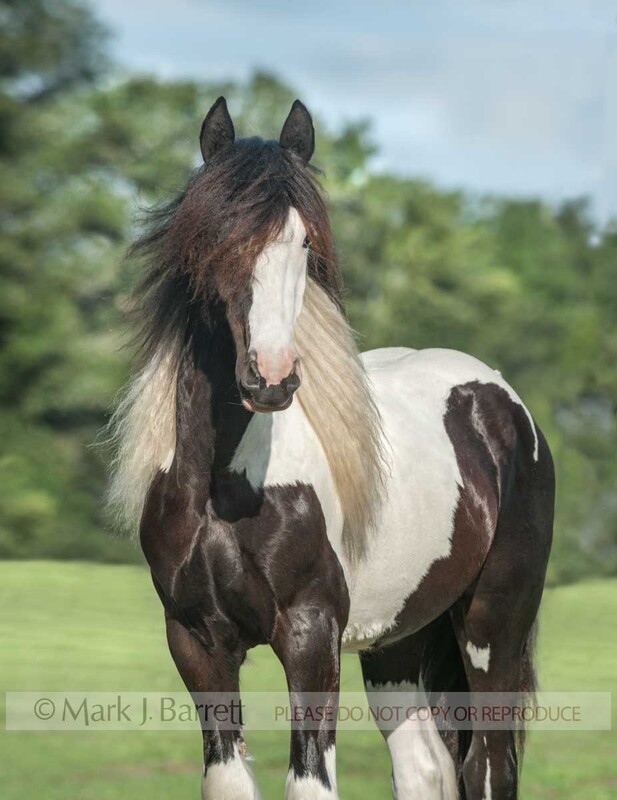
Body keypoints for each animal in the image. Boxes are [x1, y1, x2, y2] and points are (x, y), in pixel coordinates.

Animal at [108, 97, 554, 800]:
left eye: (304, 242)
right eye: (216, 235)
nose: (271, 376)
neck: (226, 484)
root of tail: (504, 404)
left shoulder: (311, 636)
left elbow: (309, 780)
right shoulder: (197, 643)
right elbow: (228, 779)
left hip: (492, 629)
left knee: (488, 765)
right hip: (397, 638)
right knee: (425, 765)